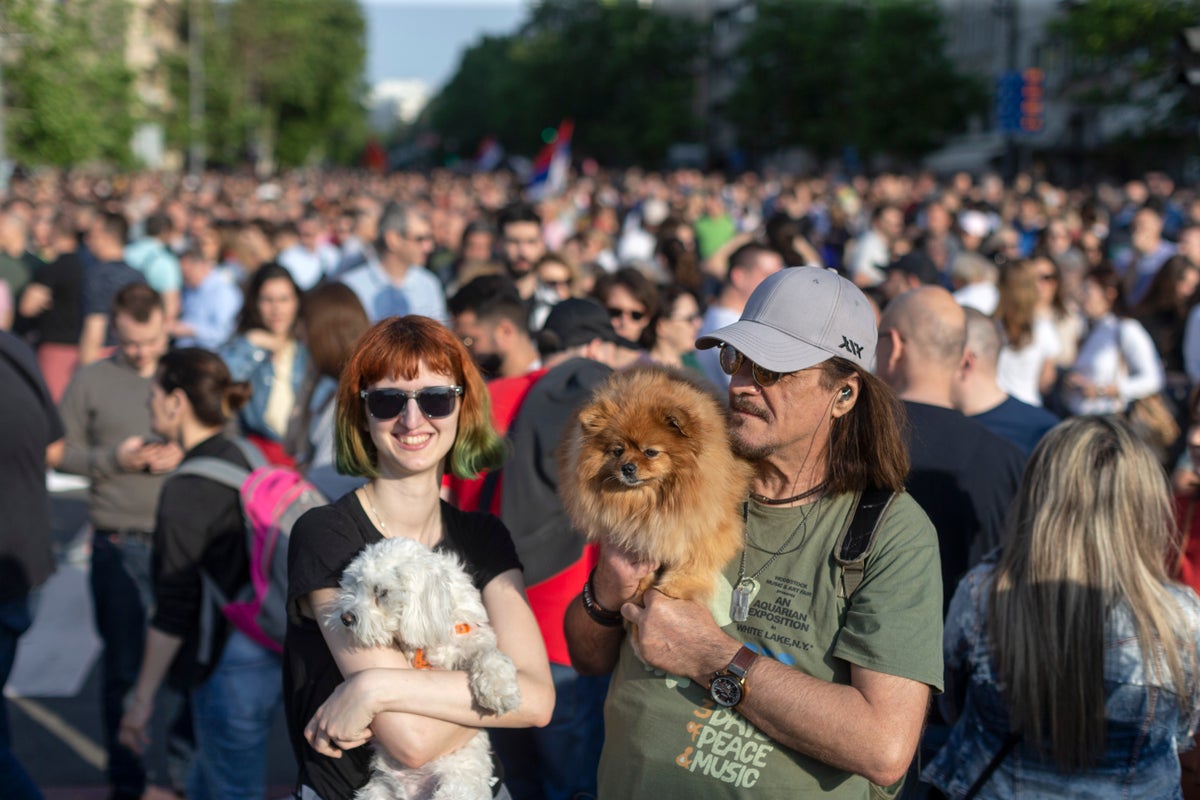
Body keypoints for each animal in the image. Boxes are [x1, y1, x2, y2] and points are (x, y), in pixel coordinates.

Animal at [328, 534, 520, 800]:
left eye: (382, 593)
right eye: (354, 585)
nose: (345, 618)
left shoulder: (471, 638)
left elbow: (488, 653)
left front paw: (499, 690)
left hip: (457, 784)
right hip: (377, 791)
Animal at [559, 367, 748, 604]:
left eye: (650, 452)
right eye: (617, 451)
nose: (627, 467)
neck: (655, 499)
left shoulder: (709, 524)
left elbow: (696, 559)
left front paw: (673, 589)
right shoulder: (643, 536)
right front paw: (640, 591)